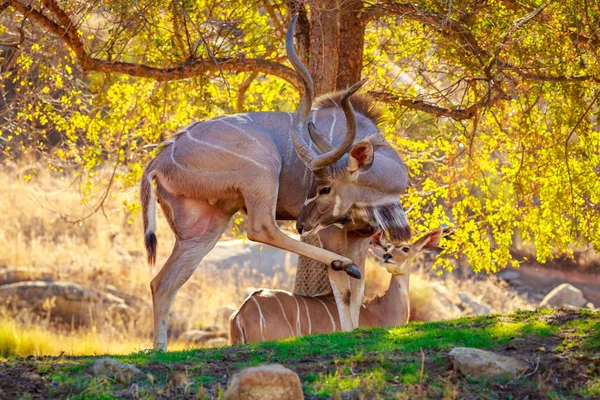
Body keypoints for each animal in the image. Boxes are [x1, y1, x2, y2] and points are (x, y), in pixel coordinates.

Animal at [141, 15, 412, 350]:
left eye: (325, 188)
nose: (302, 224)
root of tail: (159, 160)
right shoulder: (334, 230)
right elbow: (346, 290)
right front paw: (346, 322)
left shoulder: (359, 236)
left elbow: (357, 291)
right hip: (263, 171)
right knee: (261, 228)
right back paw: (339, 262)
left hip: (204, 228)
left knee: (162, 283)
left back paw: (160, 350)